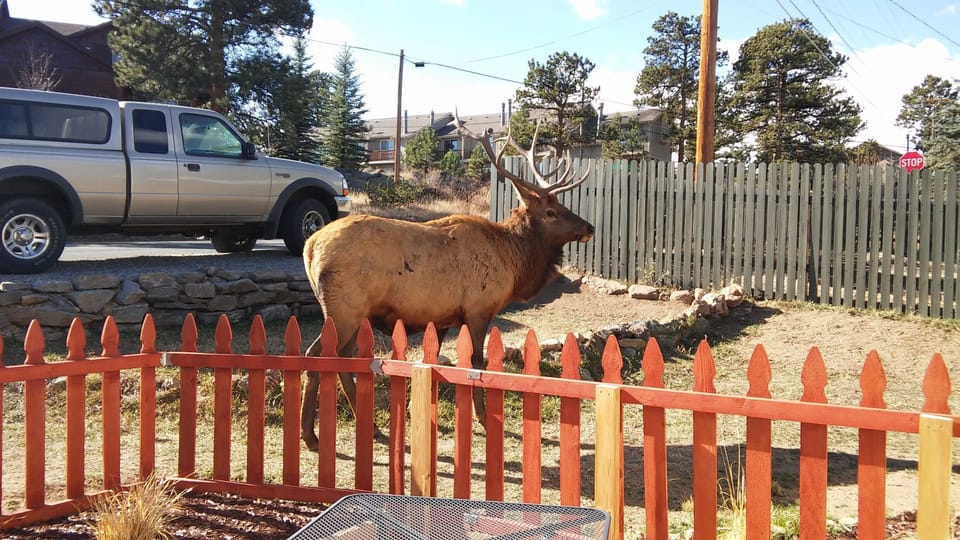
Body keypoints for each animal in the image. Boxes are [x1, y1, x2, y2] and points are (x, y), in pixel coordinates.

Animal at [299, 112, 594, 451]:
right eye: (551, 211)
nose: (589, 227)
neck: (513, 261)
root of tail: (310, 246)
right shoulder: (479, 309)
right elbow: (476, 363)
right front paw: (484, 418)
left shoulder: (441, 318)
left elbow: (436, 364)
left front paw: (421, 413)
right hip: (343, 308)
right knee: (315, 355)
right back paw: (310, 435)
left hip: (353, 313)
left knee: (343, 358)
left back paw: (370, 427)